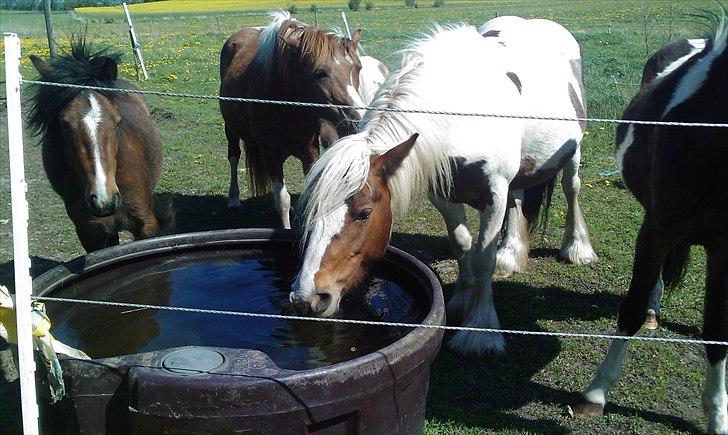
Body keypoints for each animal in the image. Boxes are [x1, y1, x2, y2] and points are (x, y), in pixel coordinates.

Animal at [216, 11, 364, 228]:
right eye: (320, 72)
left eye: (358, 67)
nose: (357, 120)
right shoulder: (271, 154)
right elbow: (283, 199)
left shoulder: (310, 152)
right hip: (231, 130)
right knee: (233, 157)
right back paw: (234, 199)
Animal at [288, 17, 592, 358]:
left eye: (364, 213)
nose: (307, 297)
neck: (460, 113)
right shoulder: (443, 194)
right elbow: (462, 243)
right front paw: (461, 299)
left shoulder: (494, 193)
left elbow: (483, 258)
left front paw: (480, 328)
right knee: (518, 198)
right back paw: (511, 253)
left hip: (572, 152)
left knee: (571, 188)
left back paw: (577, 248)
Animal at [576, 11, 728, 434]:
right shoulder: (655, 231)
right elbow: (629, 308)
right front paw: (596, 394)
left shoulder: (725, 250)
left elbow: (717, 332)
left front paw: (717, 416)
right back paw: (652, 311)